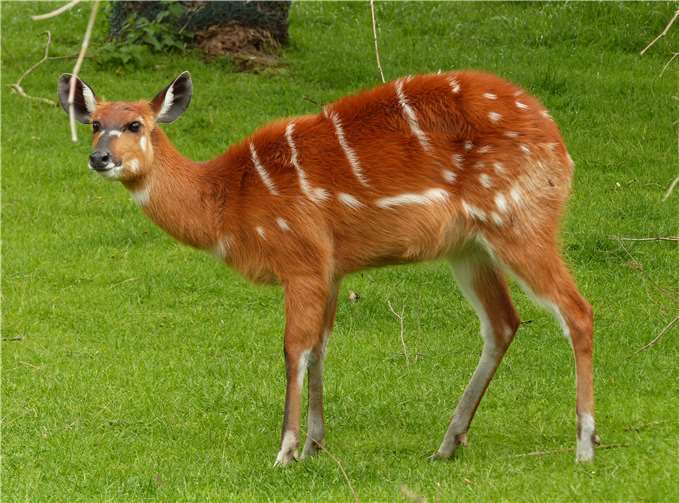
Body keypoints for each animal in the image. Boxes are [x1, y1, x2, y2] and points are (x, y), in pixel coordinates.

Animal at [58, 70, 597, 465]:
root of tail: (558, 143)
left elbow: (294, 349)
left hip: (519, 224)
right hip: (468, 248)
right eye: (95, 122)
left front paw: (285, 452)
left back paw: (584, 447)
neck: (227, 201)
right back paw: (447, 444)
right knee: (503, 322)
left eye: (136, 125)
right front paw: (316, 445)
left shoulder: (301, 258)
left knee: (577, 310)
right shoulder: (332, 268)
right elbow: (320, 347)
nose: (99, 158)